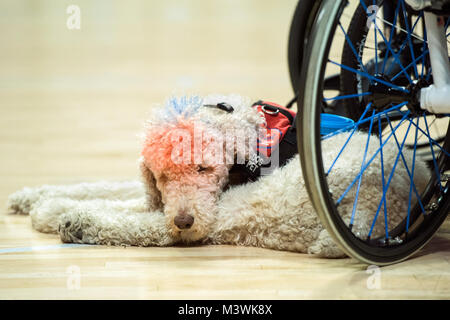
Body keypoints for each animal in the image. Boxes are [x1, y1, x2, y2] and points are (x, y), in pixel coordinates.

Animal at [7, 94, 428, 258]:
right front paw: (37, 197)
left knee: (147, 229)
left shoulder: (203, 209)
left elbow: (128, 213)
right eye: (162, 175)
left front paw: (57, 211)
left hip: (257, 206)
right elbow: (110, 189)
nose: (184, 219)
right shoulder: (156, 197)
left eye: (204, 168)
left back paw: (78, 223)